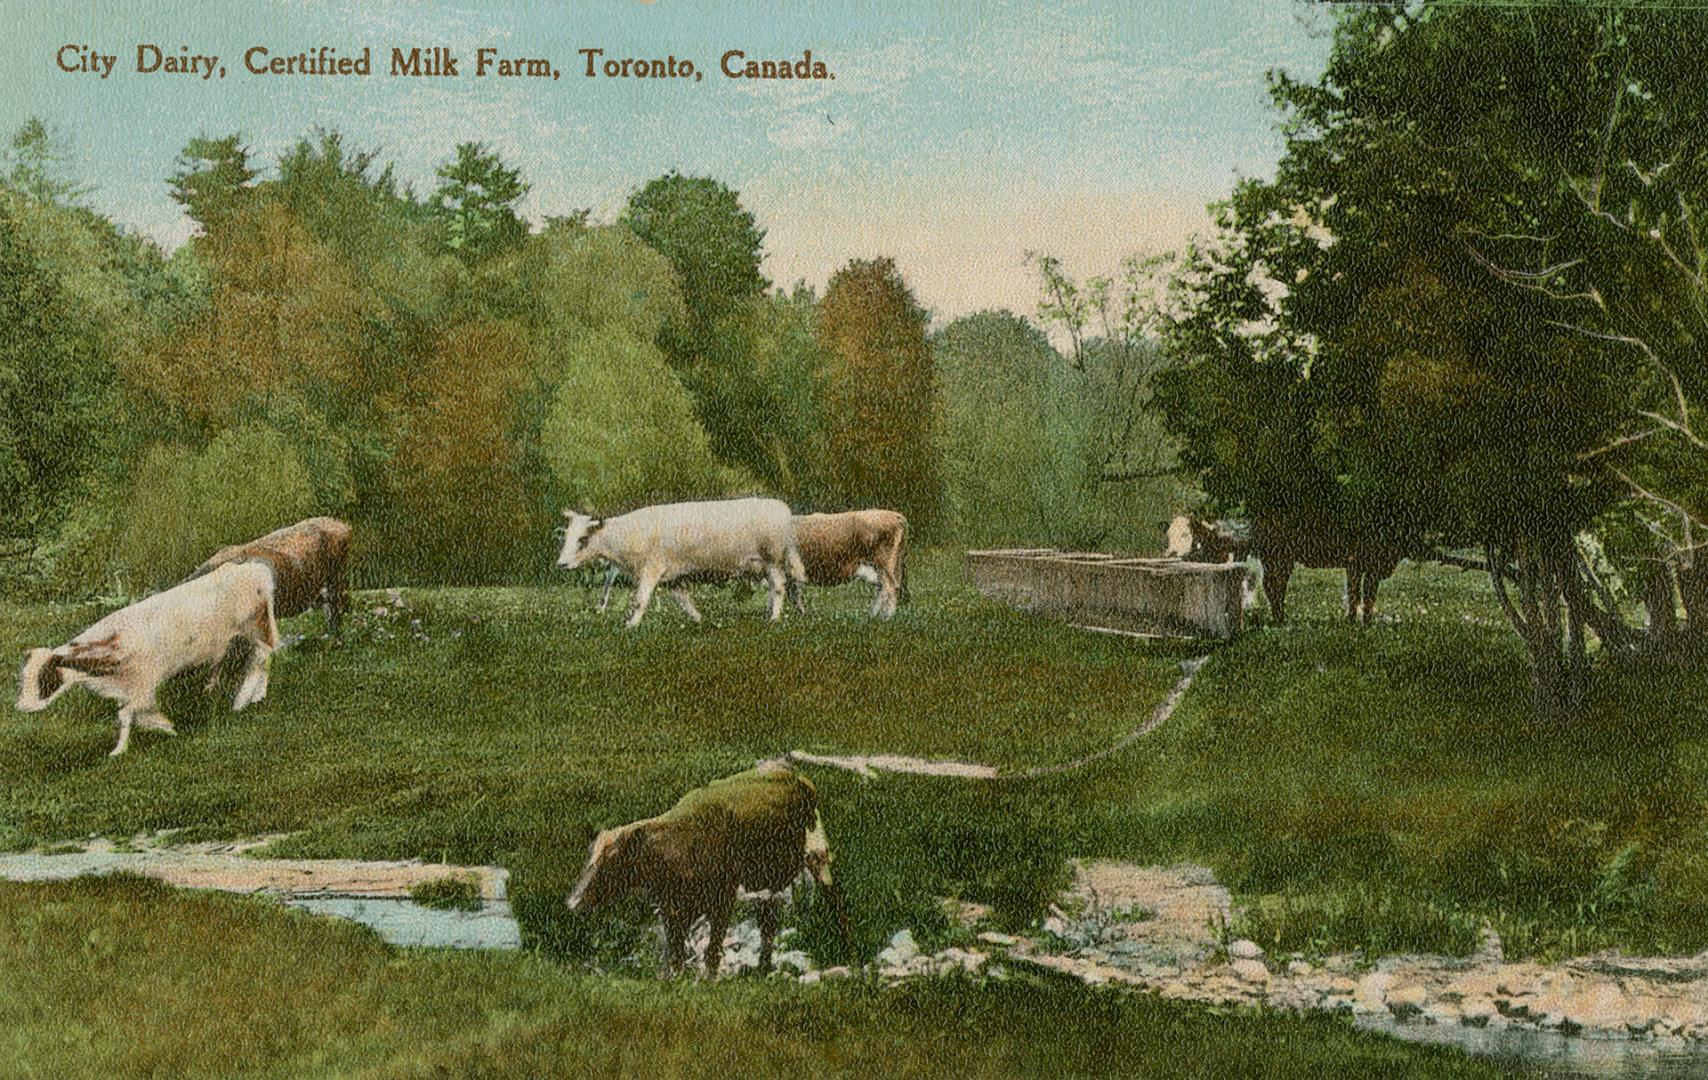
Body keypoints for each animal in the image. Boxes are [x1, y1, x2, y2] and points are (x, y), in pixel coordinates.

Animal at [15, 560, 280, 755]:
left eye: (45, 679)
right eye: (23, 677)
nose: (21, 706)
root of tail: (254, 568)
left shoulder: (143, 682)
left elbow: (128, 714)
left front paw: (131, 744)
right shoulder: (131, 687)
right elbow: (132, 714)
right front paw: (155, 729)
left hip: (255, 629)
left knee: (261, 659)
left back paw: (245, 698)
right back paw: (237, 692)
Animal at [553, 495, 806, 625]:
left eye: (583, 538)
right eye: (567, 537)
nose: (561, 564)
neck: (627, 535)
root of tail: (782, 508)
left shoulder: (651, 569)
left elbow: (639, 601)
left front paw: (630, 626)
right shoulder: (671, 576)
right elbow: (684, 601)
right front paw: (698, 620)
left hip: (772, 559)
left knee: (779, 587)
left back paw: (774, 617)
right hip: (769, 563)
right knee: (790, 584)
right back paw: (794, 610)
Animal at [567, 758, 847, 977]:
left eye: (613, 859)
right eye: (589, 856)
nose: (573, 902)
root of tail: (791, 773)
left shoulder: (724, 895)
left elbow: (713, 945)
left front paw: (709, 976)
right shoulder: (671, 905)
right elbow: (675, 946)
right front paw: (675, 975)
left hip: (817, 855)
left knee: (835, 901)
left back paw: (846, 953)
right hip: (769, 884)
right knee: (768, 923)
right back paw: (763, 967)